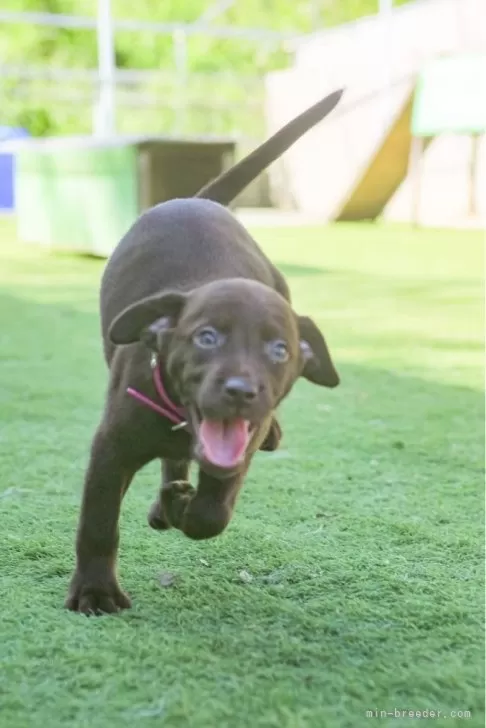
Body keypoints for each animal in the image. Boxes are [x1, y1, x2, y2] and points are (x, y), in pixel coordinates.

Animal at [66, 91, 344, 616]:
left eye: (280, 349)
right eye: (207, 337)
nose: (241, 391)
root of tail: (197, 200)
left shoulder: (237, 451)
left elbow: (214, 511)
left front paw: (183, 508)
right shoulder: (110, 447)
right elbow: (98, 523)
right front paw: (95, 592)